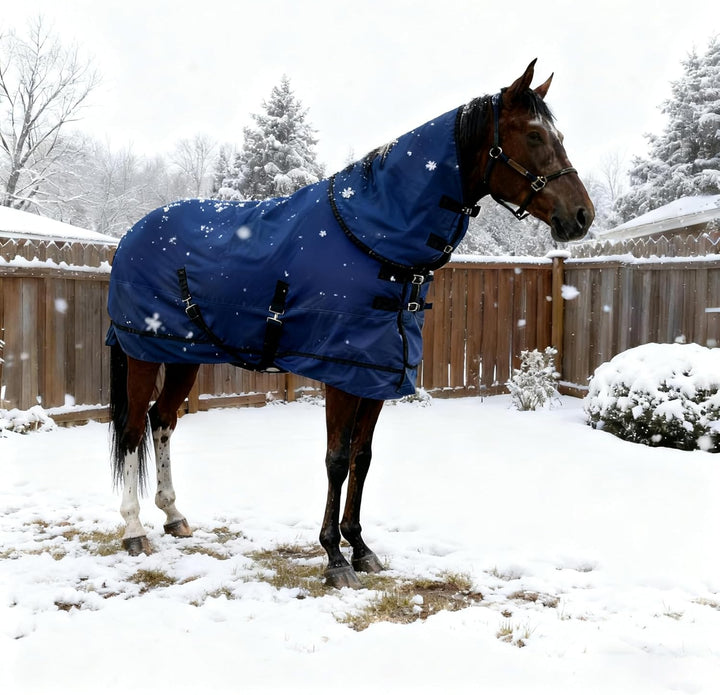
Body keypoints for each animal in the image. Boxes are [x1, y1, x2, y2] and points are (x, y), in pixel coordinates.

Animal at [106, 60, 594, 589]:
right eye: (533, 135)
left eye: (558, 135)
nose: (582, 216)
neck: (372, 237)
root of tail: (131, 235)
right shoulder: (341, 371)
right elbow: (336, 460)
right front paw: (334, 558)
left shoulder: (377, 376)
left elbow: (363, 458)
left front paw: (360, 547)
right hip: (141, 352)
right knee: (132, 430)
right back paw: (134, 529)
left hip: (182, 357)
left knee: (162, 421)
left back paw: (174, 515)